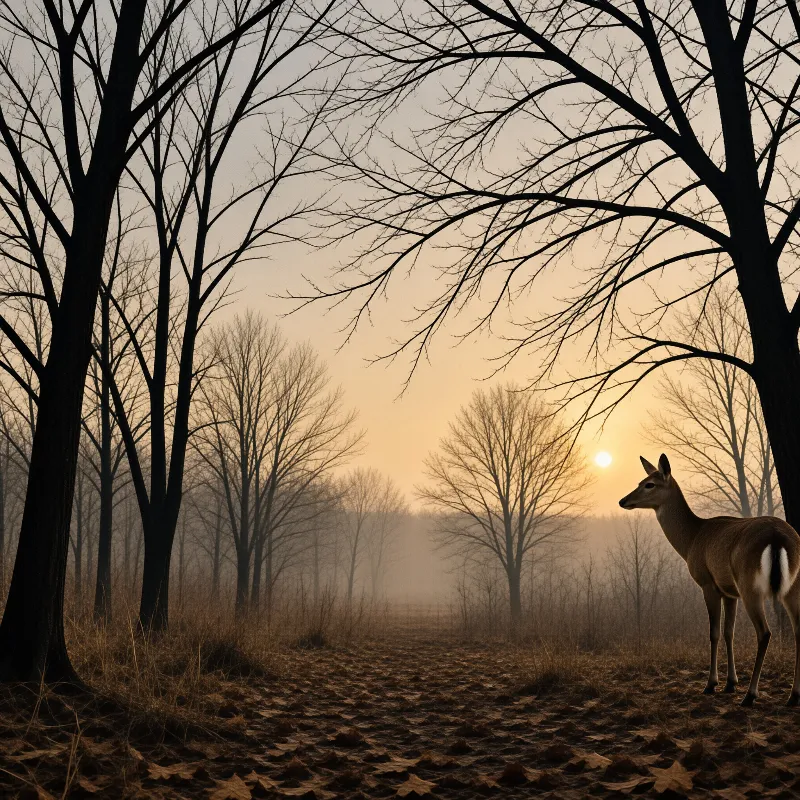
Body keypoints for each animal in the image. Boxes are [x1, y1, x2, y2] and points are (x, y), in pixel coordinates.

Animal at [619, 453, 800, 706]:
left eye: (649, 484)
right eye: (641, 480)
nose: (623, 500)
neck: (692, 539)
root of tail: (778, 537)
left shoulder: (708, 583)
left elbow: (713, 632)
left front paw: (711, 684)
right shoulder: (730, 592)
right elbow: (728, 632)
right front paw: (730, 683)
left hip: (750, 586)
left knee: (764, 632)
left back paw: (750, 695)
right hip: (791, 587)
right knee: (798, 630)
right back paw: (793, 695)